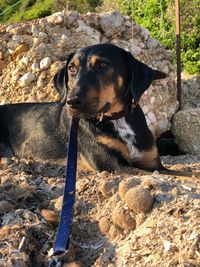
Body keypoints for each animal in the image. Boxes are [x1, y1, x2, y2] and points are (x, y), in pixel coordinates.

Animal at [0, 43, 167, 174]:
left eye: (103, 65)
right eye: (71, 68)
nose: (72, 101)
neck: (117, 119)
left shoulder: (153, 164)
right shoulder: (113, 164)